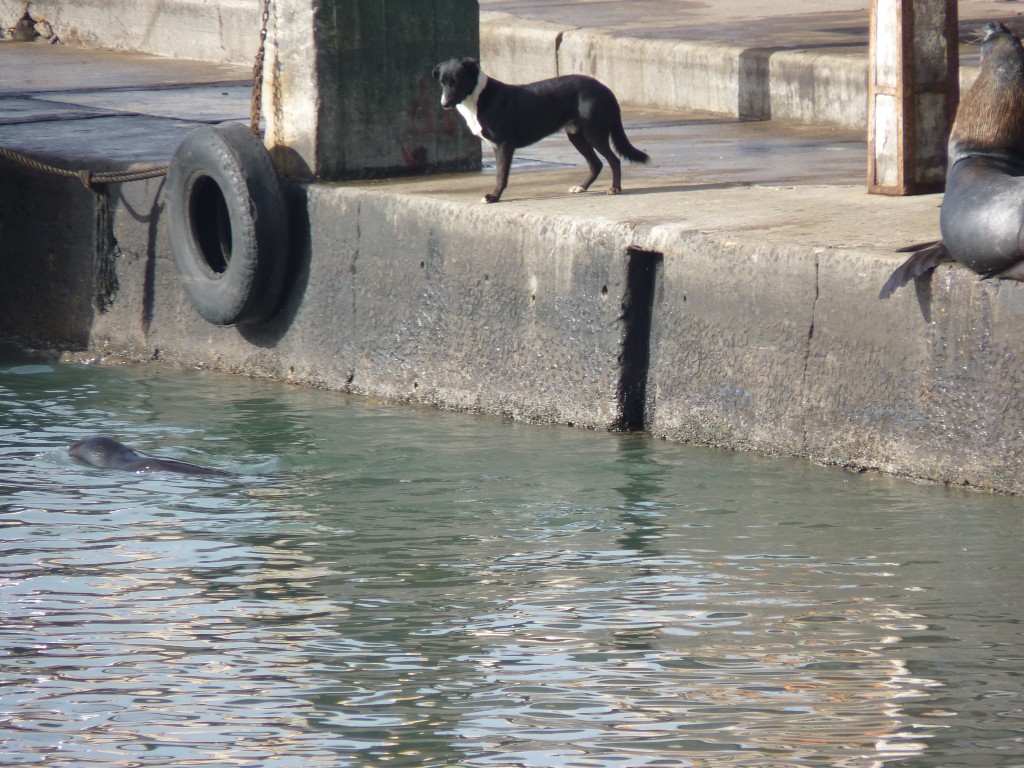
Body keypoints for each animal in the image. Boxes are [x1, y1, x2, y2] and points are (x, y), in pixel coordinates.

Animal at [432, 57, 647, 202]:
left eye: (458, 80)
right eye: (442, 81)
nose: (444, 104)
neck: (478, 97)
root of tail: (605, 89)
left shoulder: (504, 145)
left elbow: (501, 175)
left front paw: (493, 197)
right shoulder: (496, 146)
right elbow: (500, 173)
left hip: (594, 133)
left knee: (614, 160)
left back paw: (615, 188)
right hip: (576, 135)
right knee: (596, 164)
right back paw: (582, 187)